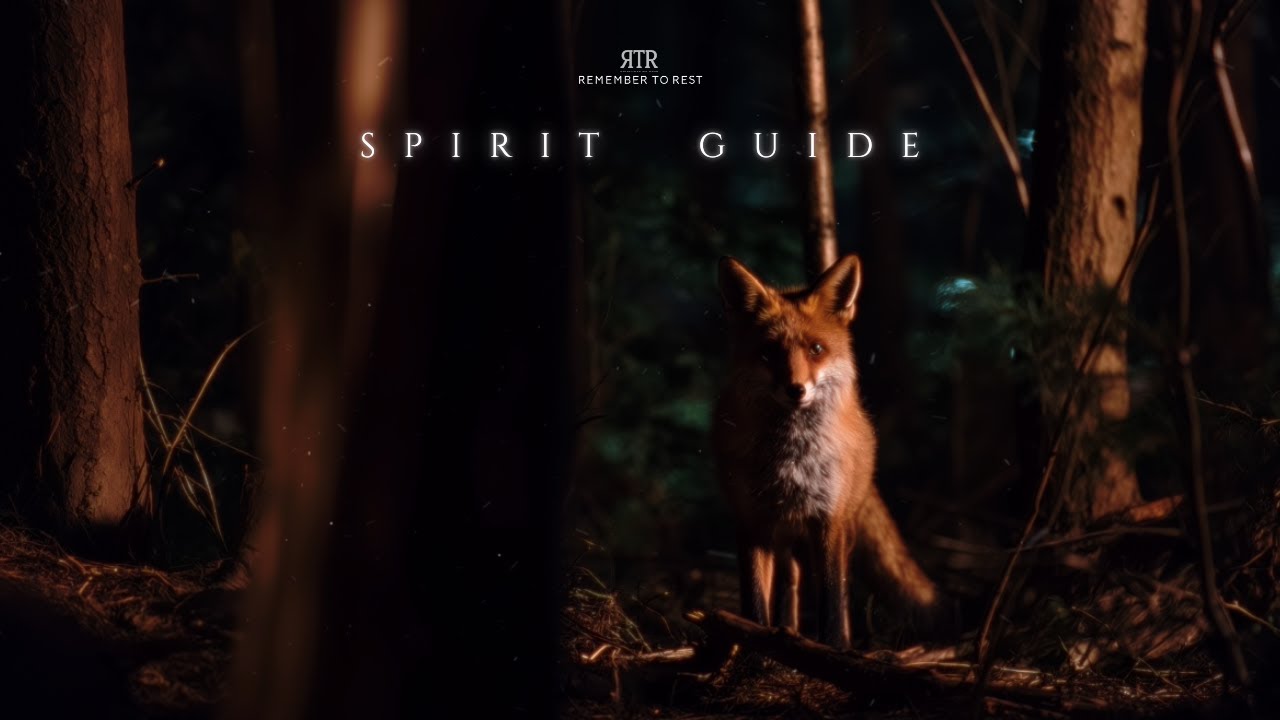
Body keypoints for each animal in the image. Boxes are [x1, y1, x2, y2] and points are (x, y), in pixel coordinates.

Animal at [713, 253, 938, 650]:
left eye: (816, 350)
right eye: (768, 353)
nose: (796, 389)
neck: (790, 461)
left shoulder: (828, 520)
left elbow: (832, 599)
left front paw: (834, 649)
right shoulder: (752, 520)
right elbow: (755, 601)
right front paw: (754, 642)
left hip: (835, 531)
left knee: (834, 590)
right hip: (785, 540)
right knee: (789, 587)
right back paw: (786, 630)